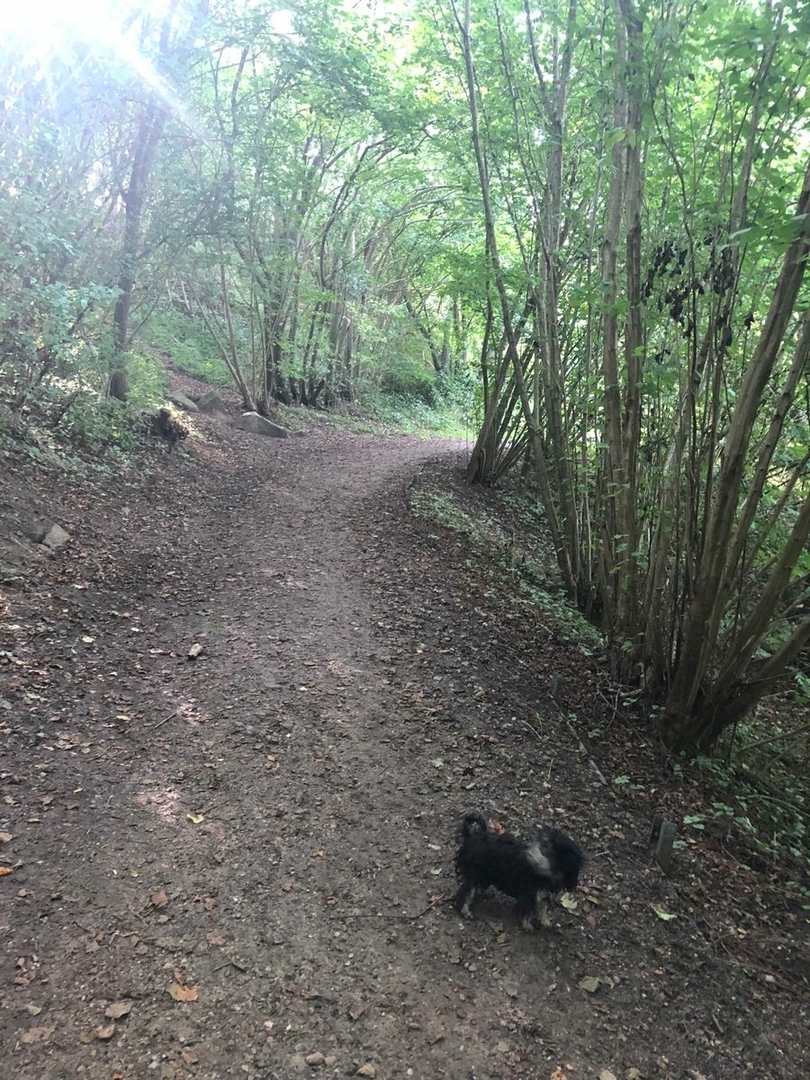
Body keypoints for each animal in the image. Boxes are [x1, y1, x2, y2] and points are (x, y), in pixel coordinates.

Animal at [453, 812, 583, 930]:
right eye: (546, 849)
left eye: (558, 856)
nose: (534, 856)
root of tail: (470, 837)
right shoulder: (528, 895)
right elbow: (527, 912)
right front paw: (527, 925)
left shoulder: (542, 895)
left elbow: (543, 909)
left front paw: (545, 922)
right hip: (474, 875)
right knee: (465, 893)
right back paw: (465, 911)